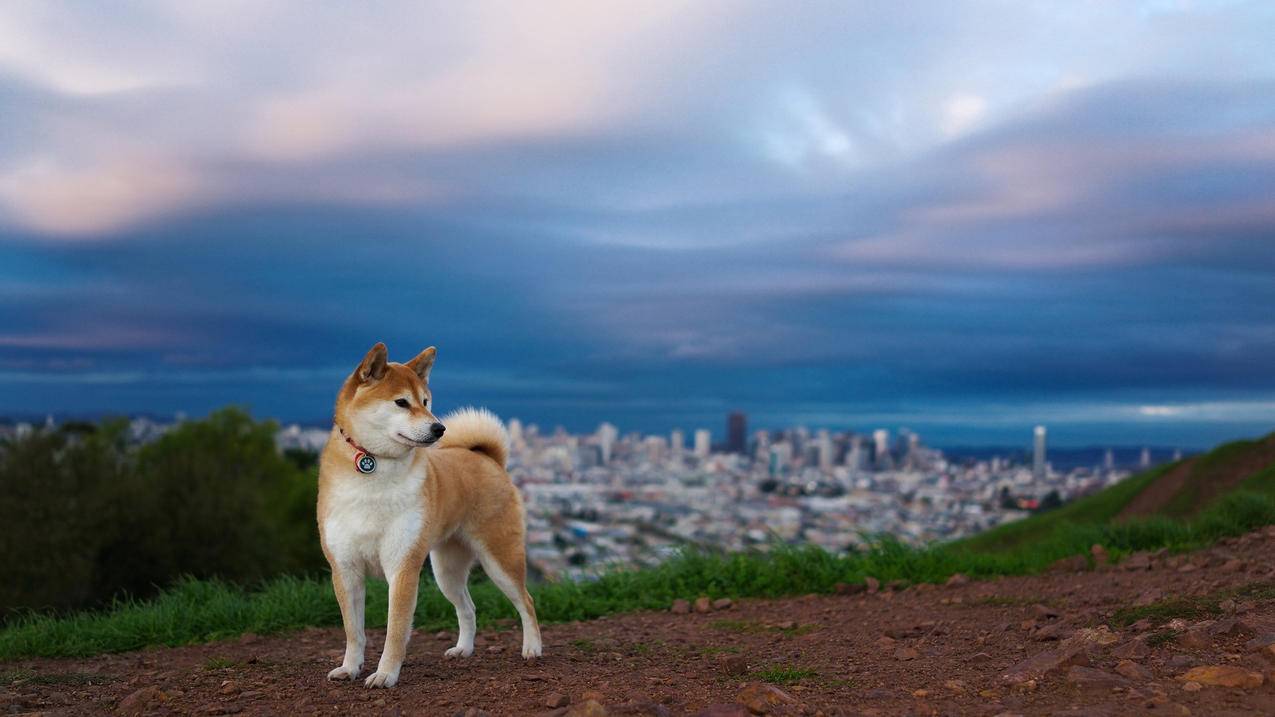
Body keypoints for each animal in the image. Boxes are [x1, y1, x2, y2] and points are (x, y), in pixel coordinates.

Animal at [318, 341, 543, 688]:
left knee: (526, 602)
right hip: (446, 571)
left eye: (425, 402)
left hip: (500, 559)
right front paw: (350, 668)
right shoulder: (345, 569)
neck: (374, 466)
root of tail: (488, 459)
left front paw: (385, 674)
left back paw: (532, 648)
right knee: (468, 608)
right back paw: (463, 649)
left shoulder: (402, 567)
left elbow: (395, 631)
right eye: (401, 402)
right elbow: (353, 631)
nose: (440, 428)